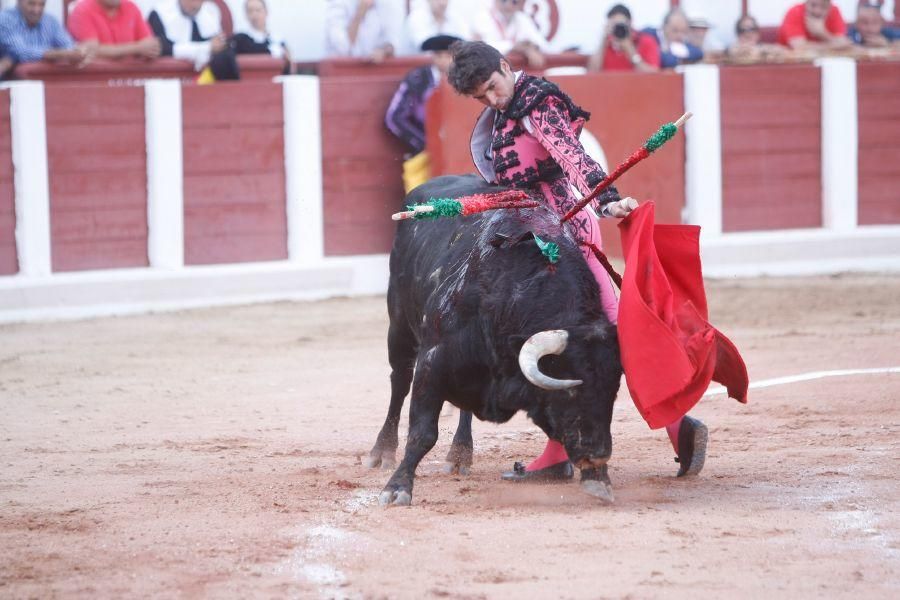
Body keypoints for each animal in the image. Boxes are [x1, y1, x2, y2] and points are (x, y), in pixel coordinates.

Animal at [364, 175, 620, 506]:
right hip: (399, 327)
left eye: (613, 391)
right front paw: (397, 488)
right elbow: (422, 434)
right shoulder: (433, 363)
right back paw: (382, 451)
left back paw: (460, 453)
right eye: (571, 390)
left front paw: (597, 478)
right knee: (399, 382)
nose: (599, 454)